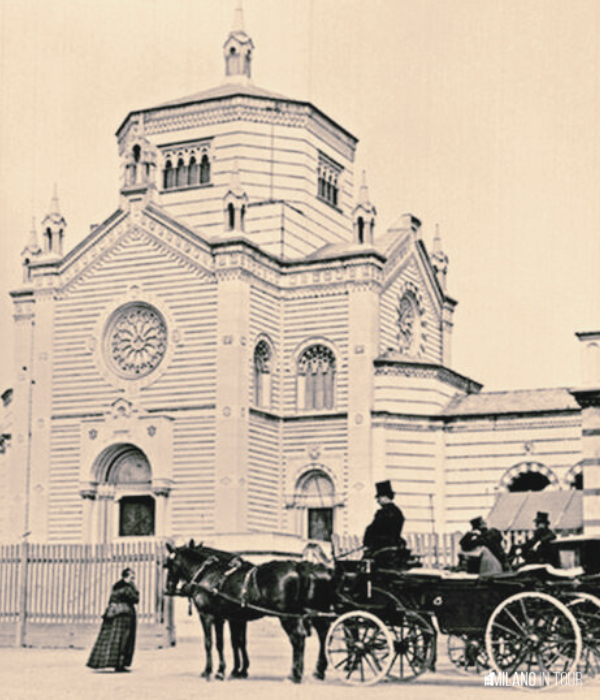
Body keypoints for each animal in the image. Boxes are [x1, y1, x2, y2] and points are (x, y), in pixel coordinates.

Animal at [165, 540, 332, 684]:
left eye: (167, 565)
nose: (168, 588)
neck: (208, 574)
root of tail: (297, 567)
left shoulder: (209, 616)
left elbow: (212, 643)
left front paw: (213, 671)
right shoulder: (231, 618)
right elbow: (233, 642)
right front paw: (234, 670)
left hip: (287, 616)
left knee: (298, 637)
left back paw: (296, 675)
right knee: (316, 635)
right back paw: (306, 671)